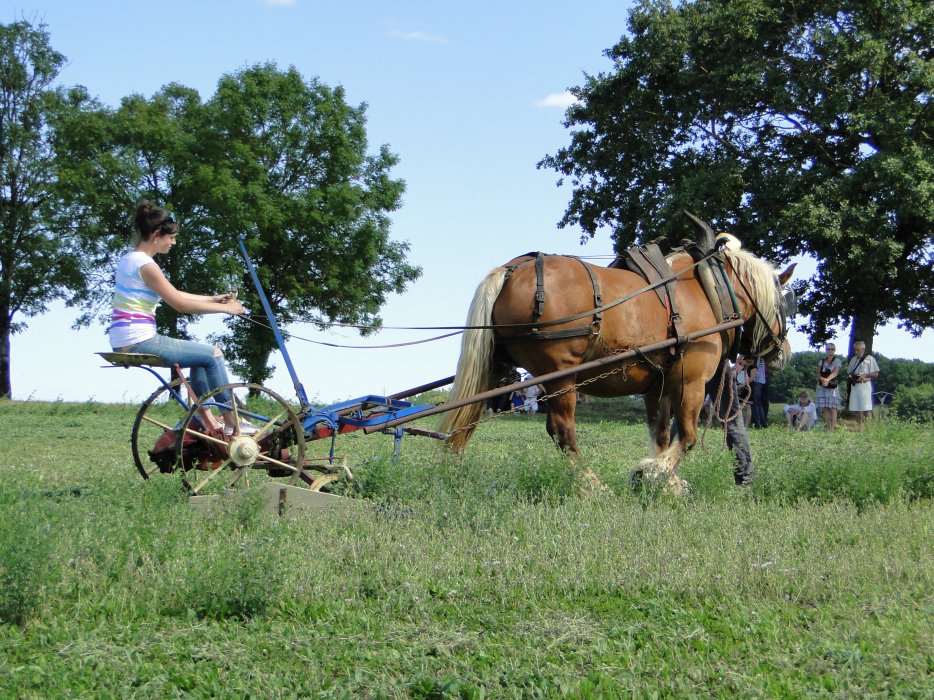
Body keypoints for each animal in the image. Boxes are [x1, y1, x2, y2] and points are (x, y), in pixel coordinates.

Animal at [442, 231, 792, 492]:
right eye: (785, 301)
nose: (784, 352)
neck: (707, 288)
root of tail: (512, 269)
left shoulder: (657, 388)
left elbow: (660, 436)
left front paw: (666, 480)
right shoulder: (690, 381)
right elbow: (688, 437)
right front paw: (653, 473)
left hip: (495, 367)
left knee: (465, 419)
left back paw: (452, 474)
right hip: (560, 375)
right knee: (562, 431)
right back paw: (592, 485)